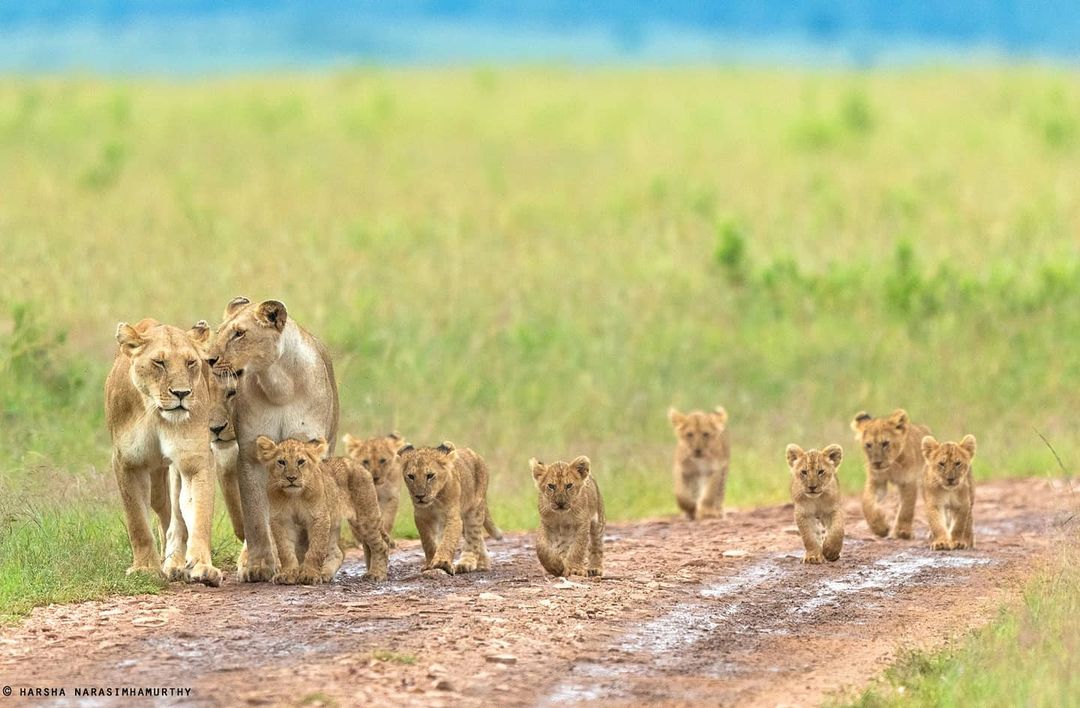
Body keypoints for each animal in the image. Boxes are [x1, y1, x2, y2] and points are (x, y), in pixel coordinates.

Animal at [104, 318, 222, 586]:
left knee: (175, 516)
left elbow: (198, 515)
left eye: (190, 362)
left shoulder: (195, 460)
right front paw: (145, 568)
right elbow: (137, 521)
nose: (181, 393)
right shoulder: (127, 463)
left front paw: (201, 566)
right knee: (162, 506)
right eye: (159, 362)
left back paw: (175, 563)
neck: (154, 412)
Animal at [206, 297, 340, 582]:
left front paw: (309, 565)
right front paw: (258, 565)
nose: (209, 360)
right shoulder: (250, 453)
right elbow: (256, 517)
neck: (279, 386)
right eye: (220, 331)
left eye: (239, 333)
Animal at [255, 436, 388, 584]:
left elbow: (316, 549)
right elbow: (285, 551)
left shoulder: (319, 517)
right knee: (337, 552)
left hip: (365, 518)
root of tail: (357, 464)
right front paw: (288, 574)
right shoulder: (282, 520)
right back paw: (325, 573)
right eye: (281, 462)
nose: (291, 478)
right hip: (334, 520)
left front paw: (309, 575)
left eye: (300, 462)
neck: (294, 496)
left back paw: (376, 574)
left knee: (381, 546)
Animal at [398, 442, 497, 575]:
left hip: (474, 511)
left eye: (430, 476)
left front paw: (442, 563)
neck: (434, 502)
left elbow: (448, 540)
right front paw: (430, 564)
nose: (419, 496)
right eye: (411, 476)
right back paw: (483, 565)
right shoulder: (421, 517)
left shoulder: (453, 517)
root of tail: (475, 454)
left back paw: (467, 564)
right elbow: (428, 542)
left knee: (473, 538)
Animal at [851, 409, 931, 539]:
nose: (877, 463)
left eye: (885, 443)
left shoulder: (908, 481)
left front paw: (903, 531)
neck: (891, 467)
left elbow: (906, 508)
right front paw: (880, 528)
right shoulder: (877, 481)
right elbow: (867, 503)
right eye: (868, 445)